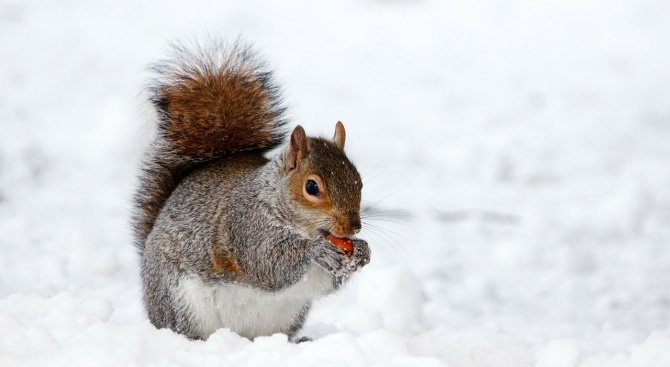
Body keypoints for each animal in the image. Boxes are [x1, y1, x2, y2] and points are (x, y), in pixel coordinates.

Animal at [131, 40, 372, 342]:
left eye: (359, 181)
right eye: (312, 187)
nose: (353, 227)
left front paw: (362, 251)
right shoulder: (246, 226)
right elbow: (267, 263)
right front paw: (316, 250)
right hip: (180, 302)